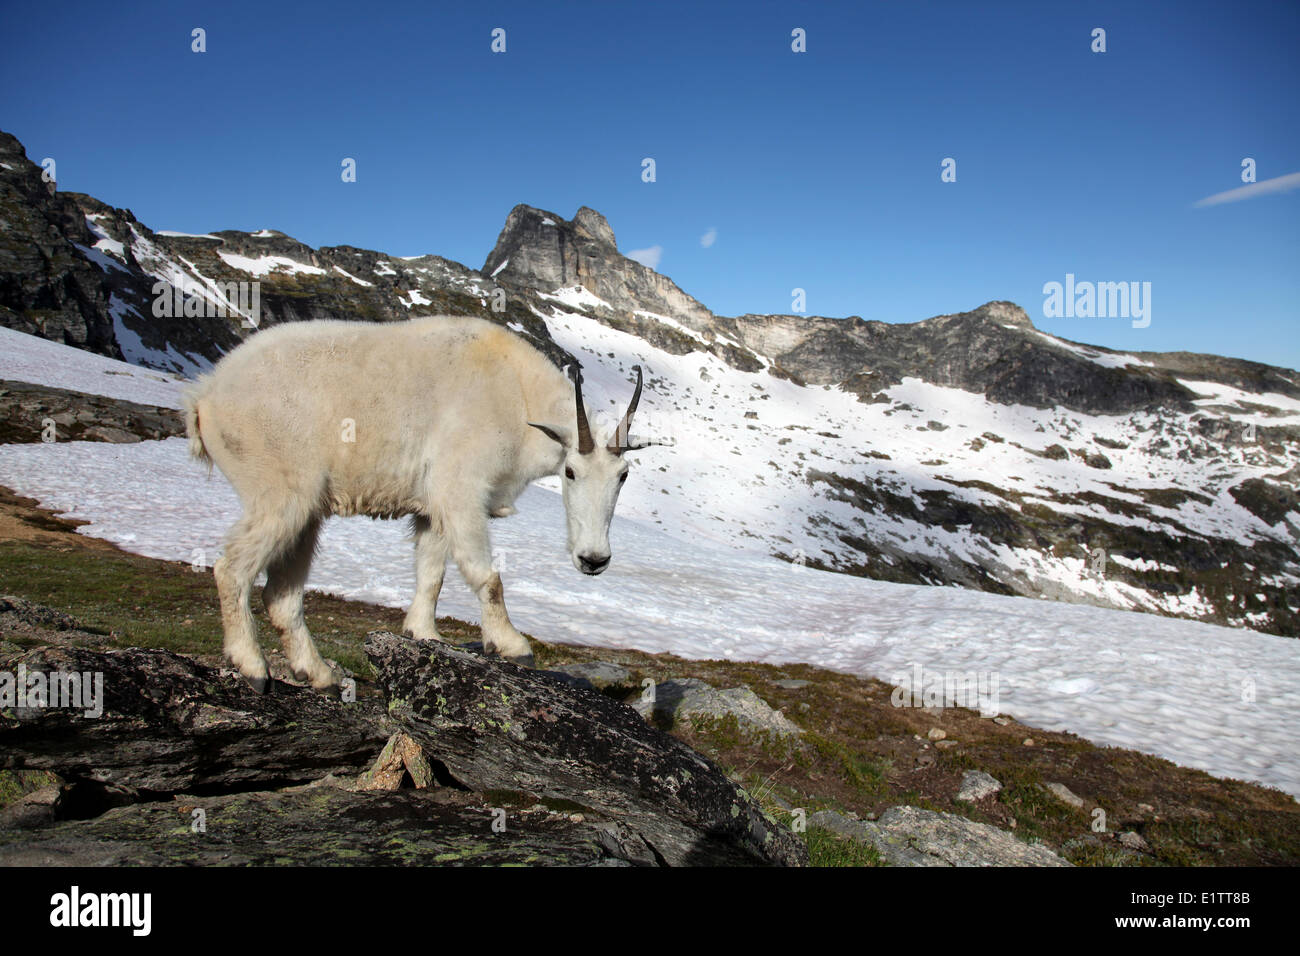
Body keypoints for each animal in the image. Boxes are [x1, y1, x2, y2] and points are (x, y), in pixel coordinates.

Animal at [180, 317, 660, 691]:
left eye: (623, 475)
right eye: (570, 472)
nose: (593, 559)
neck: (516, 396)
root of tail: (205, 396)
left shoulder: (432, 510)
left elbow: (432, 574)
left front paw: (424, 634)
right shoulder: (461, 491)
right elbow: (487, 576)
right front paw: (511, 645)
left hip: (305, 512)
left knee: (282, 596)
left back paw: (319, 675)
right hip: (279, 493)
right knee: (232, 569)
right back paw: (251, 667)